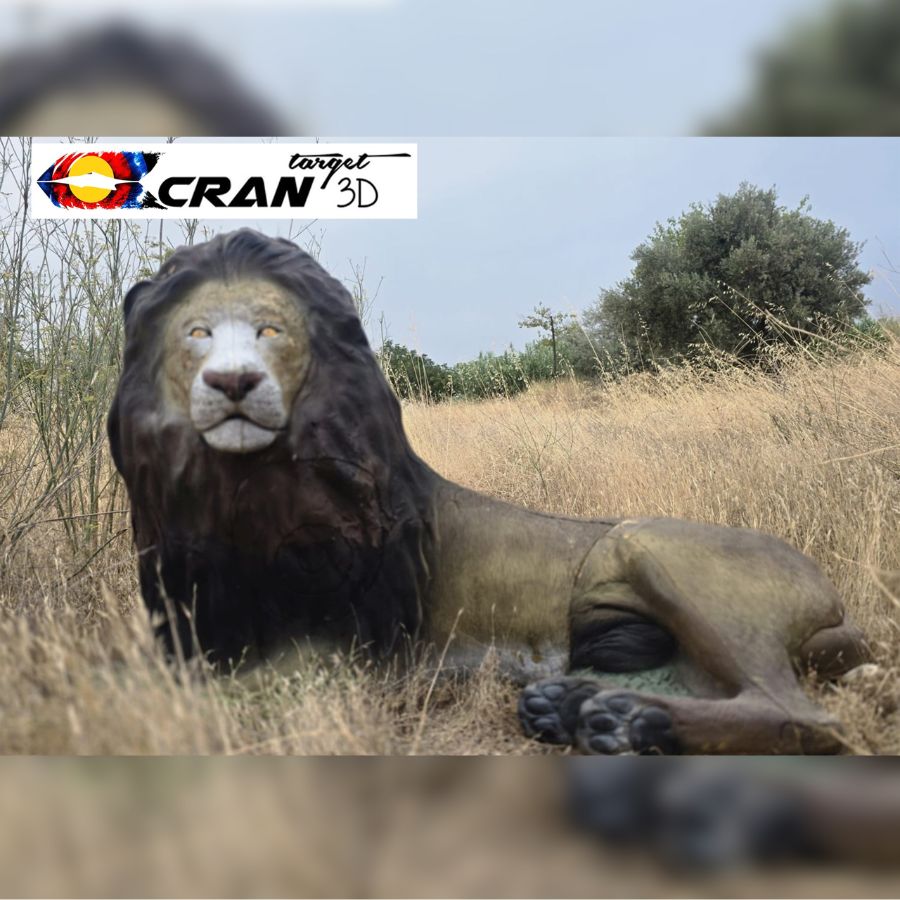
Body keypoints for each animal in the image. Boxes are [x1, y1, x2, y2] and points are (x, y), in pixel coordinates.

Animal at [108, 228, 870, 754]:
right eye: (198, 334)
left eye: (271, 331)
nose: (232, 382)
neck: (250, 495)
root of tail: (832, 600)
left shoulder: (347, 655)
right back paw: (570, 704)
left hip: (649, 543)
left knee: (804, 715)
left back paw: (614, 721)